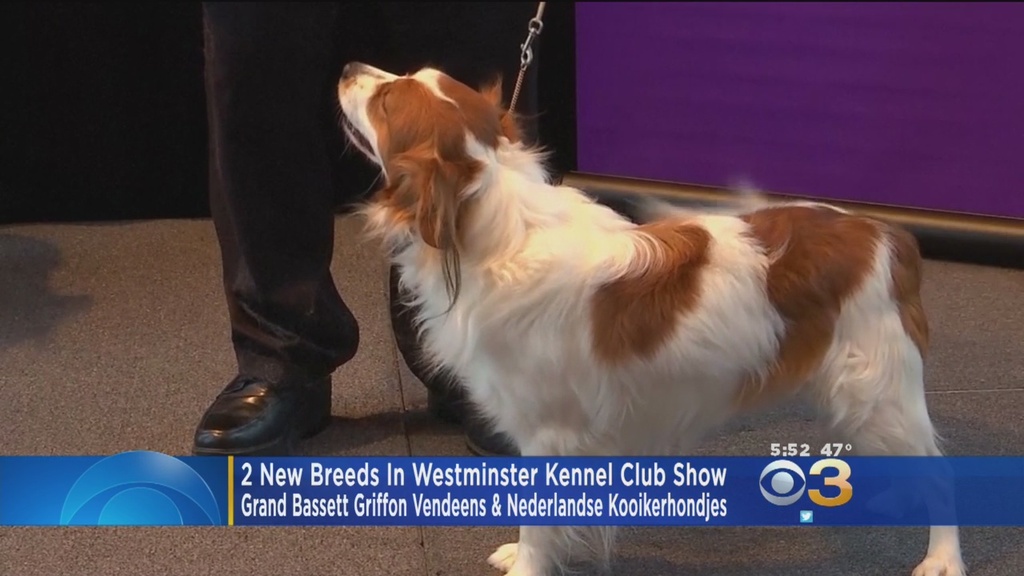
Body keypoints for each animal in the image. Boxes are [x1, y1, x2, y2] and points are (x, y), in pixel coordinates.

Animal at [337, 62, 965, 576]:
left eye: (387, 99)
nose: (347, 68)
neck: (496, 227)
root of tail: (885, 233)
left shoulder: (548, 431)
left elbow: (539, 520)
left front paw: (529, 564)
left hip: (875, 391)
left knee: (940, 472)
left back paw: (943, 560)